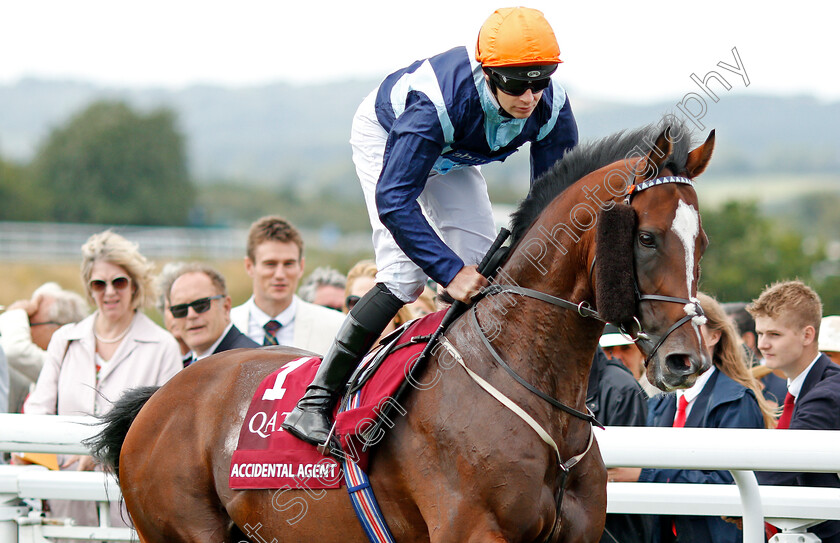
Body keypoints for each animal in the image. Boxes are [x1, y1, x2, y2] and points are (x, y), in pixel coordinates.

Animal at [88, 119, 712, 543]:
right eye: (646, 237)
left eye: (701, 242)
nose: (686, 360)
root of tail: (162, 396)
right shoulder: (472, 532)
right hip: (184, 529)